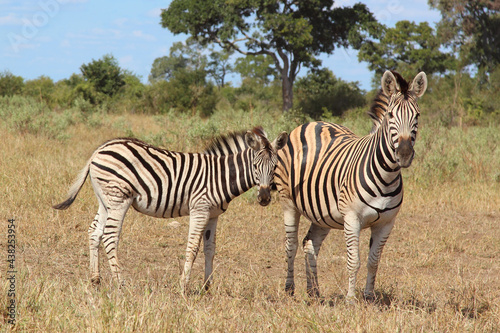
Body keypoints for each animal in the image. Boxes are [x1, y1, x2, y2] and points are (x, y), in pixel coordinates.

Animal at [52, 126, 288, 290]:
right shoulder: (200, 209)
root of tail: (100, 149)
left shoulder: (213, 215)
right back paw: (121, 283)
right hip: (119, 198)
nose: (265, 198)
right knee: (110, 236)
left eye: (275, 166)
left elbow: (210, 249)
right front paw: (183, 286)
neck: (219, 176)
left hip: (105, 200)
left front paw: (207, 286)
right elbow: (192, 248)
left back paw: (95, 279)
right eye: (255, 166)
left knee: (95, 232)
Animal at [276, 70, 428, 300]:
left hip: (322, 213)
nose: (404, 154)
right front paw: (350, 299)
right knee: (291, 245)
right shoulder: (351, 218)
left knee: (310, 244)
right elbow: (353, 261)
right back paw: (289, 289)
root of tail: (311, 124)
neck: (386, 175)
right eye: (390, 115)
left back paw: (314, 292)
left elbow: (373, 262)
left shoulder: (386, 223)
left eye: (417, 116)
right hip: (288, 204)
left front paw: (368, 297)